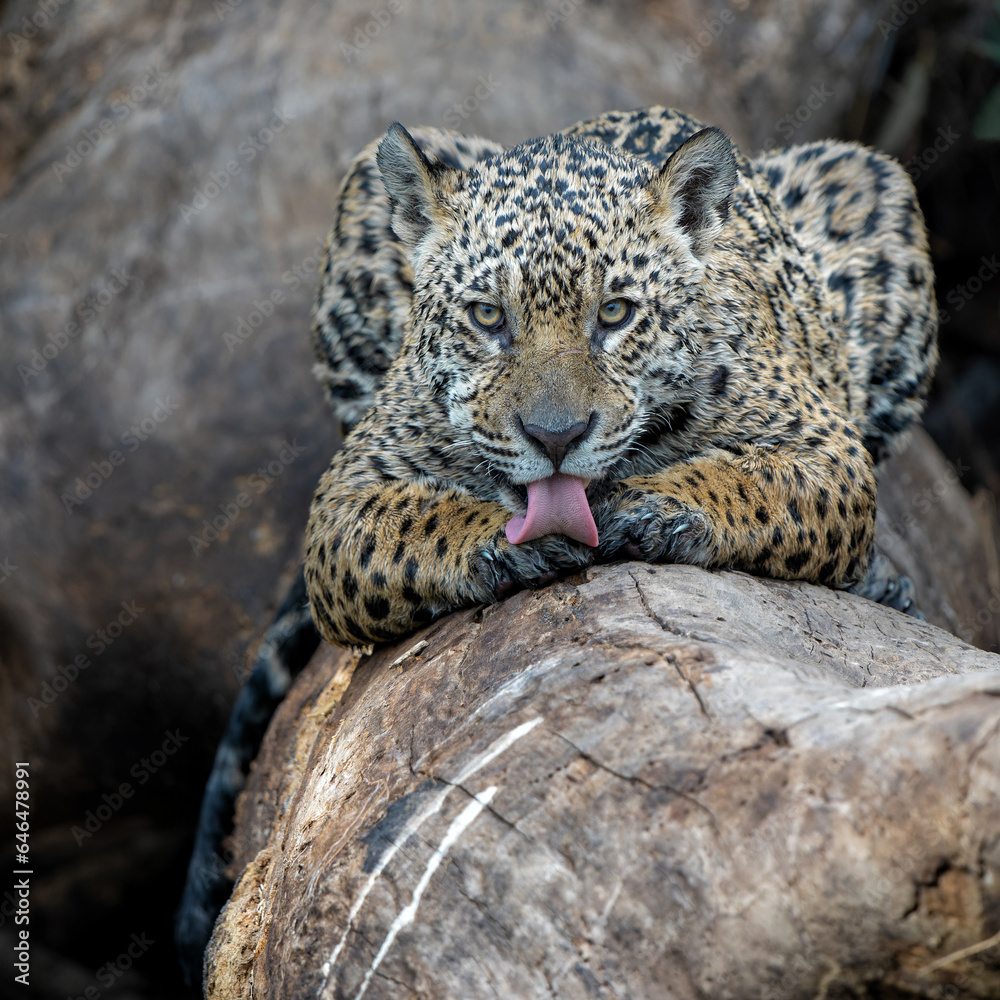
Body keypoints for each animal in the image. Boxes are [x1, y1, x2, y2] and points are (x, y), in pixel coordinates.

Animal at [305, 105, 938, 648]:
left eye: (614, 313)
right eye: (487, 315)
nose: (555, 438)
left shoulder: (828, 446)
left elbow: (760, 487)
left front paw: (652, 505)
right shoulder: (343, 496)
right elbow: (401, 527)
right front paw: (500, 541)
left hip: (873, 179)